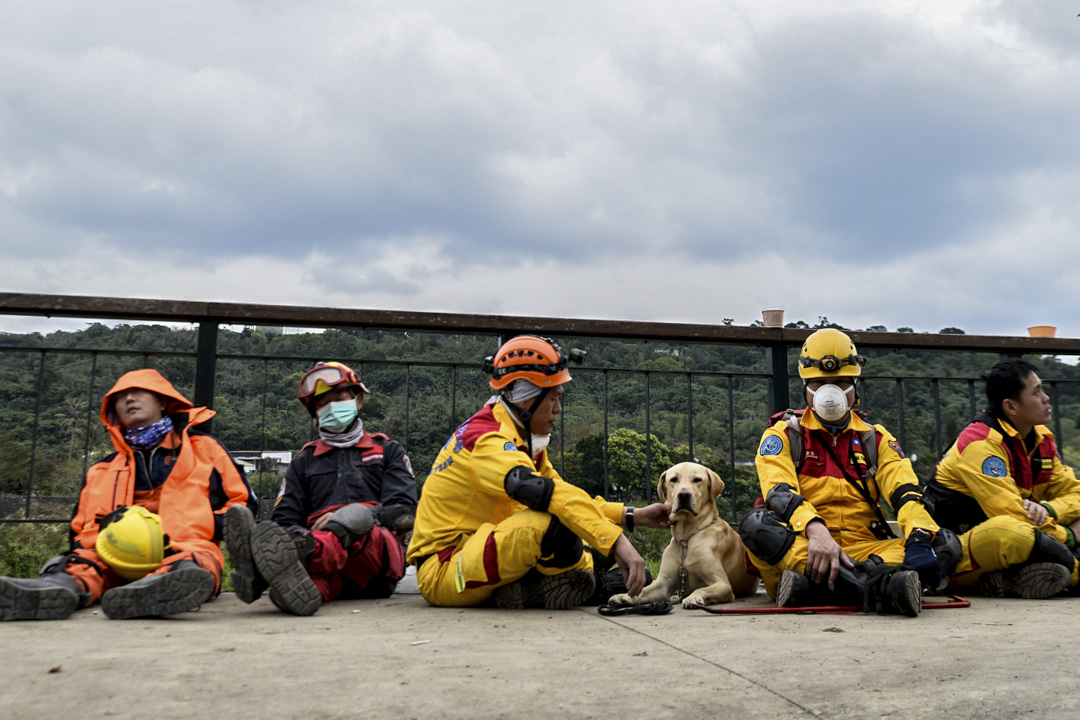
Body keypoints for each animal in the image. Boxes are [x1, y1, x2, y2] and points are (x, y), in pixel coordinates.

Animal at [613, 462, 756, 608]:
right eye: (673, 479)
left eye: (697, 480)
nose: (684, 495)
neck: (686, 538)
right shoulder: (664, 583)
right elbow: (643, 591)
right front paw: (625, 596)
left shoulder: (722, 583)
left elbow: (702, 589)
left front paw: (693, 598)